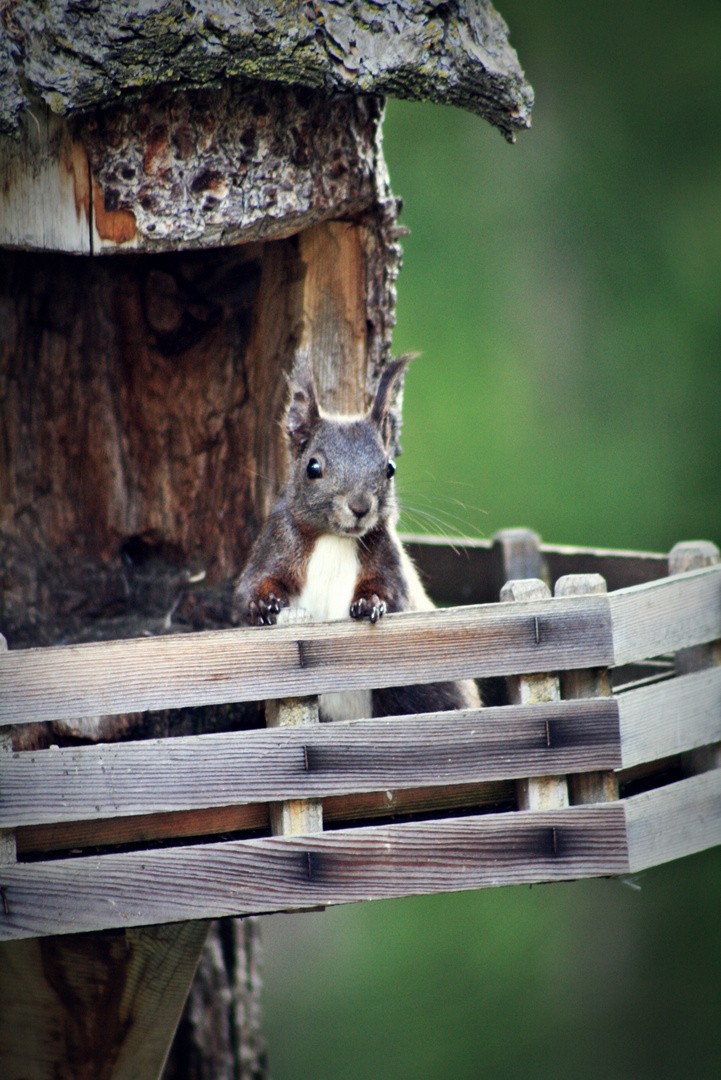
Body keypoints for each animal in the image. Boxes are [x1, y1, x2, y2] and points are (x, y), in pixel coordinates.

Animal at [235, 358, 479, 721]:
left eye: (389, 468)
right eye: (312, 467)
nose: (361, 507)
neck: (334, 540)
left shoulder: (389, 561)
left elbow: (392, 593)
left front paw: (370, 604)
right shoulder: (275, 546)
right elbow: (251, 586)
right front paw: (264, 604)